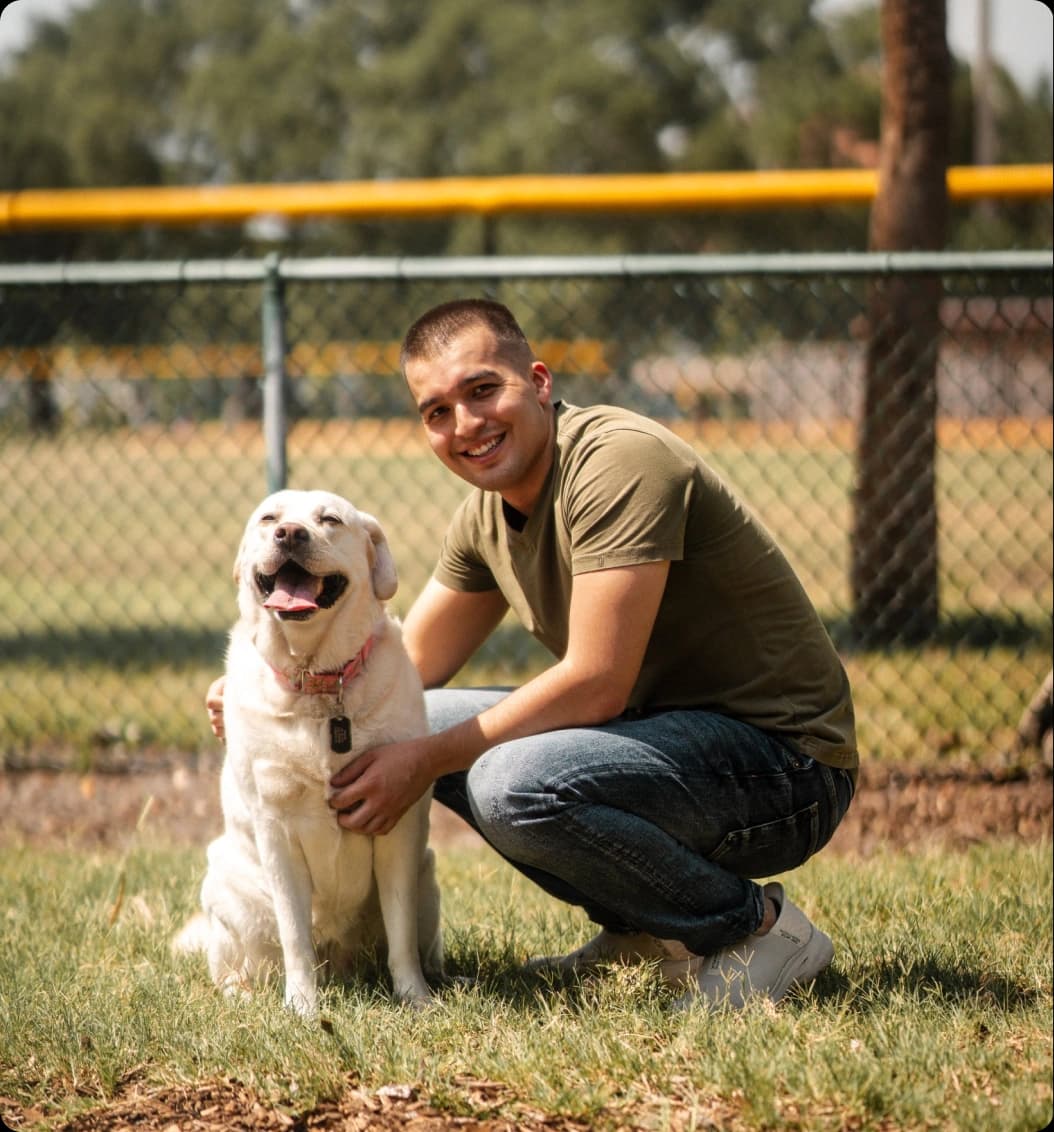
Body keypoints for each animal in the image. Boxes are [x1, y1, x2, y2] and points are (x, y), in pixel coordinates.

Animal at [177, 491, 441, 1014]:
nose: (290, 534)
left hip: (429, 879)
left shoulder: (397, 829)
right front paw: (302, 1006)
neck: (320, 682)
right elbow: (295, 935)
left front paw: (415, 998)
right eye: (269, 519)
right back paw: (241, 995)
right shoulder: (277, 829)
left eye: (330, 520)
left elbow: (401, 933)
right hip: (225, 887)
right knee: (235, 965)